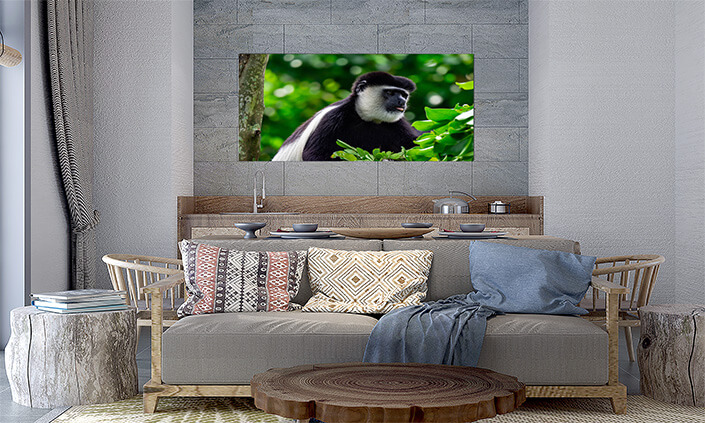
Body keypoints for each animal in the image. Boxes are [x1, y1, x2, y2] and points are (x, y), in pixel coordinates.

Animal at [271, 71, 422, 161]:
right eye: (390, 93)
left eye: (403, 95)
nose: (402, 102)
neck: (365, 118)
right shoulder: (332, 119)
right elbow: (315, 155)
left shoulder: (397, 123)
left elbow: (414, 144)